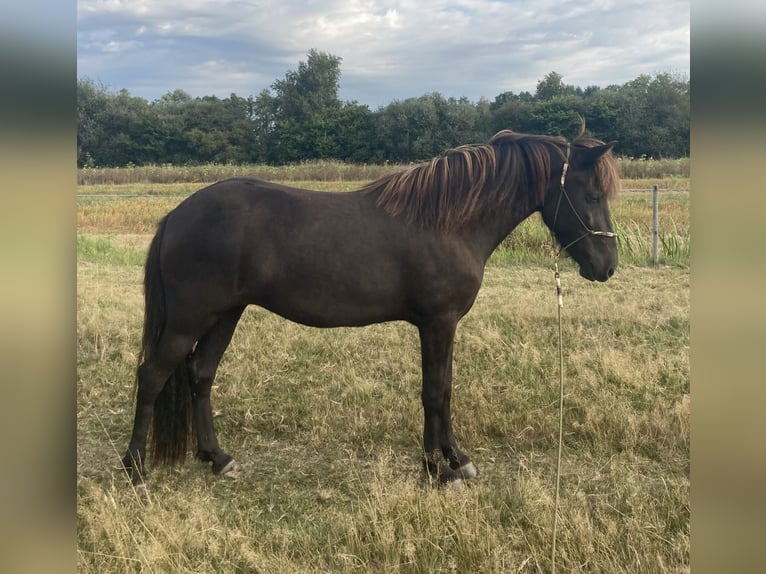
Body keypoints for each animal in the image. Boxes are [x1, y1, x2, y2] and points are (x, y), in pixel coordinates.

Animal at [123, 129, 620, 486]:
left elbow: (443, 389)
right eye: (592, 195)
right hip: (188, 320)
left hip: (225, 315)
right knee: (152, 376)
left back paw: (217, 458)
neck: (449, 221)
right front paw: (441, 468)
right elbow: (434, 392)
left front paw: (449, 461)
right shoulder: (438, 323)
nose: (608, 265)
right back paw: (136, 469)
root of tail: (176, 216)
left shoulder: (442, 326)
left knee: (200, 375)